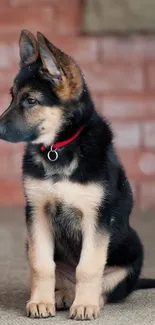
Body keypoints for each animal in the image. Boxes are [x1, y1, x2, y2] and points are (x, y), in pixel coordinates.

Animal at [0, 29, 154, 318]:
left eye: (30, 100)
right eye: (12, 96)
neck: (59, 148)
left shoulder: (96, 216)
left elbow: (88, 267)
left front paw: (85, 305)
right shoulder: (37, 212)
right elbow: (42, 264)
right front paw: (41, 302)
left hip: (133, 250)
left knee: (105, 285)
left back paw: (88, 300)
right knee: (62, 278)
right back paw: (61, 295)